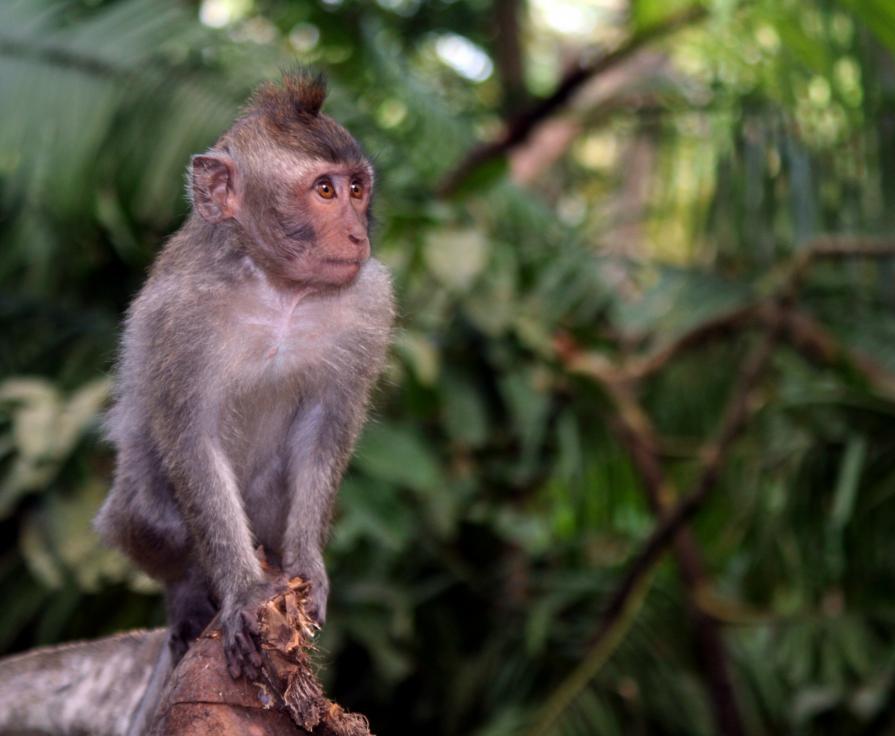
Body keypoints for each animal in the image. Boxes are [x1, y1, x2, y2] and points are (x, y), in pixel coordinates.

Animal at [94, 72, 394, 698]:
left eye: (356, 189)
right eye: (324, 191)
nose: (357, 235)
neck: (279, 287)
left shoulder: (369, 303)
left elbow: (325, 429)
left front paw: (306, 565)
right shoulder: (178, 318)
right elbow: (192, 442)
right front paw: (243, 592)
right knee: (152, 505)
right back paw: (189, 598)